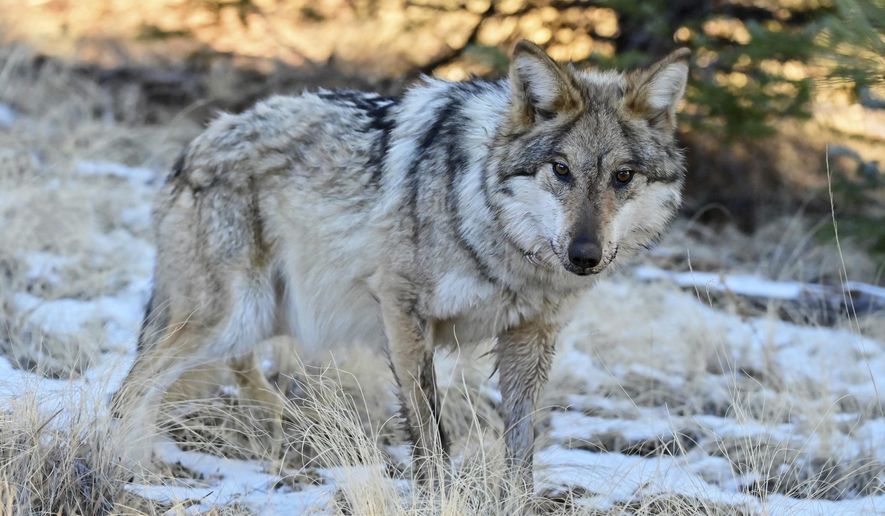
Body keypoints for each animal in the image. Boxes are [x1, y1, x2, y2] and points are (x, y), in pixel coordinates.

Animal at [113, 40, 689, 492]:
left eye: (622, 176)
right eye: (561, 170)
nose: (584, 256)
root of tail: (196, 143)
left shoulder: (529, 338)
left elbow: (521, 451)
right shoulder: (402, 311)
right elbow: (431, 436)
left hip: (259, 321)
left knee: (237, 386)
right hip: (230, 319)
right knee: (131, 389)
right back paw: (127, 469)